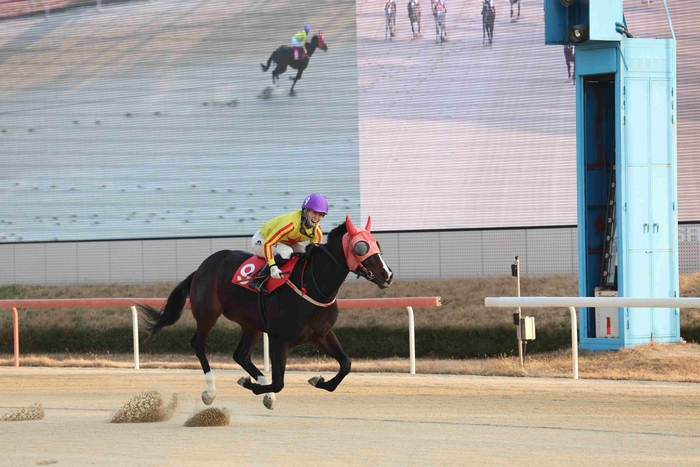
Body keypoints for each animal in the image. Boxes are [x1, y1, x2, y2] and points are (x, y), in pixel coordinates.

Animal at [134, 218, 392, 412]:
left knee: (240, 355)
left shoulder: (321, 333)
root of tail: (201, 267)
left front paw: (318, 380)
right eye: (361, 247)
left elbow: (346, 364)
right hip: (208, 312)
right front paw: (253, 386)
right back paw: (210, 391)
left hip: (252, 325)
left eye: (377, 243)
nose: (387, 275)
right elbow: (279, 382)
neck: (312, 283)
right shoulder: (280, 338)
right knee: (198, 343)